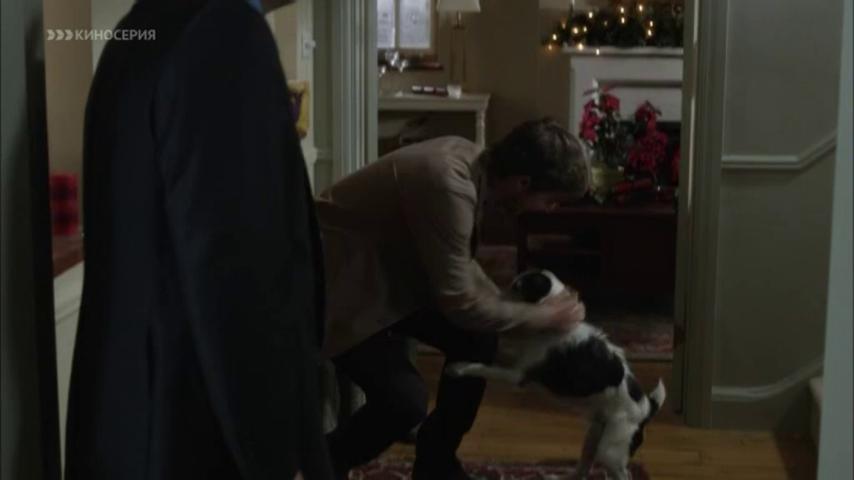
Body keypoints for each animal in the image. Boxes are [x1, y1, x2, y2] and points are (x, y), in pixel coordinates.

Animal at [446, 269, 666, 480]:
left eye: (518, 287)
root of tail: (647, 409)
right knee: (582, 471)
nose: (494, 297)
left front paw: (459, 367)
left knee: (623, 474)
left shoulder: (518, 374)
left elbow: (482, 367)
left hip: (610, 451)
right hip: (593, 437)